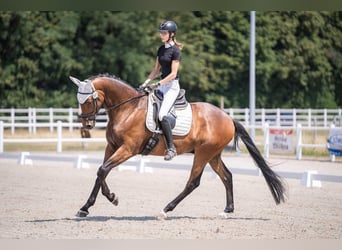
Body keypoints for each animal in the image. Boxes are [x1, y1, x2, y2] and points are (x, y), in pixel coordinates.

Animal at [69, 74, 286, 219]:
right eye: (79, 100)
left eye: (88, 100)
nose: (87, 126)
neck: (128, 109)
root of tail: (228, 117)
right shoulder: (112, 147)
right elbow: (101, 171)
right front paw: (109, 198)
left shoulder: (128, 149)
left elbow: (103, 169)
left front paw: (87, 207)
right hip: (213, 155)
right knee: (227, 176)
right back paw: (227, 210)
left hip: (203, 153)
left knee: (193, 183)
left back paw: (166, 209)